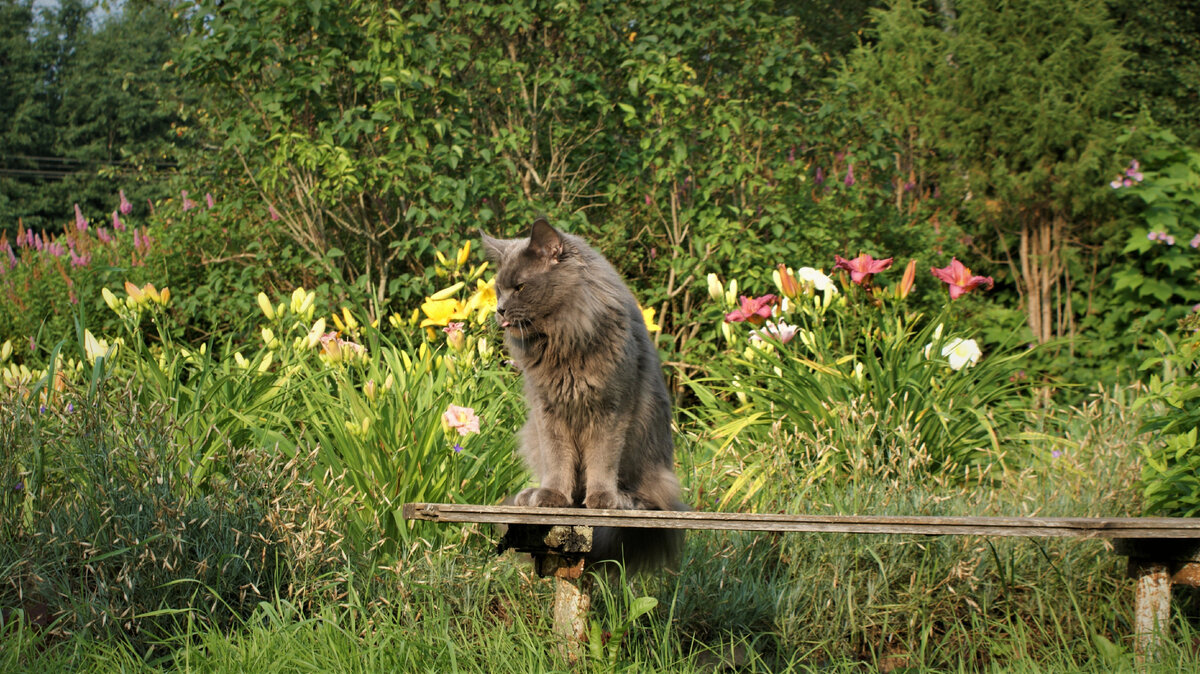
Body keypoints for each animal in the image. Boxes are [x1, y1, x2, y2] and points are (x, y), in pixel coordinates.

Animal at [480, 218, 686, 568]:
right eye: (498, 289)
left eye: (519, 287)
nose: (500, 309)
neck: (563, 340)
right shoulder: (548, 411)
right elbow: (558, 460)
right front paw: (552, 497)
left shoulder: (611, 408)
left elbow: (601, 459)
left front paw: (602, 500)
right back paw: (530, 495)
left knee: (653, 498)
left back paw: (623, 500)